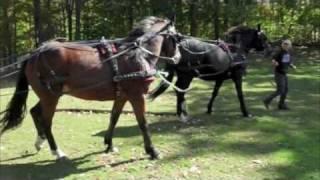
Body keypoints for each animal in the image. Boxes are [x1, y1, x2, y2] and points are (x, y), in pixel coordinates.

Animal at [0, 16, 180, 160]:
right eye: (176, 38)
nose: (178, 58)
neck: (137, 55)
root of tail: (34, 54)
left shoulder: (122, 96)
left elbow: (114, 118)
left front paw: (108, 144)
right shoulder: (136, 95)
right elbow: (143, 123)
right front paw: (152, 151)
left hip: (49, 95)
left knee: (34, 111)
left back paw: (40, 141)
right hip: (51, 97)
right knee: (46, 122)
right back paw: (57, 151)